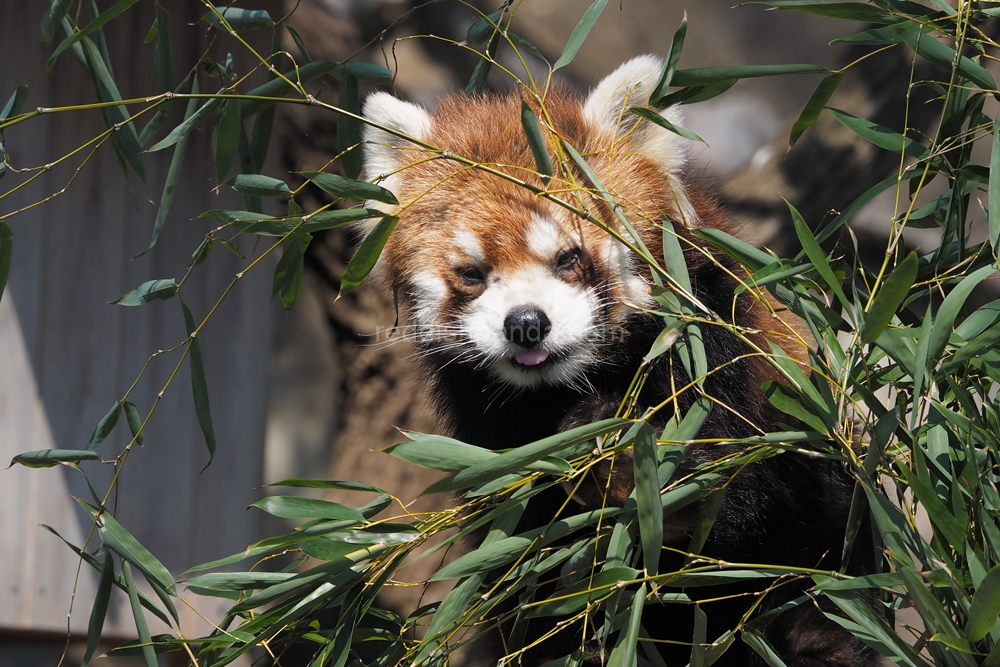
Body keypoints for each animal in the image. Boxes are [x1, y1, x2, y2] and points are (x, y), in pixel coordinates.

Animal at [360, 57, 876, 667]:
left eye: (568, 257)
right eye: (472, 273)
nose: (526, 323)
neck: (572, 385)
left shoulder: (716, 355)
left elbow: (726, 510)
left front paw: (624, 458)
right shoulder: (486, 428)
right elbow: (526, 564)